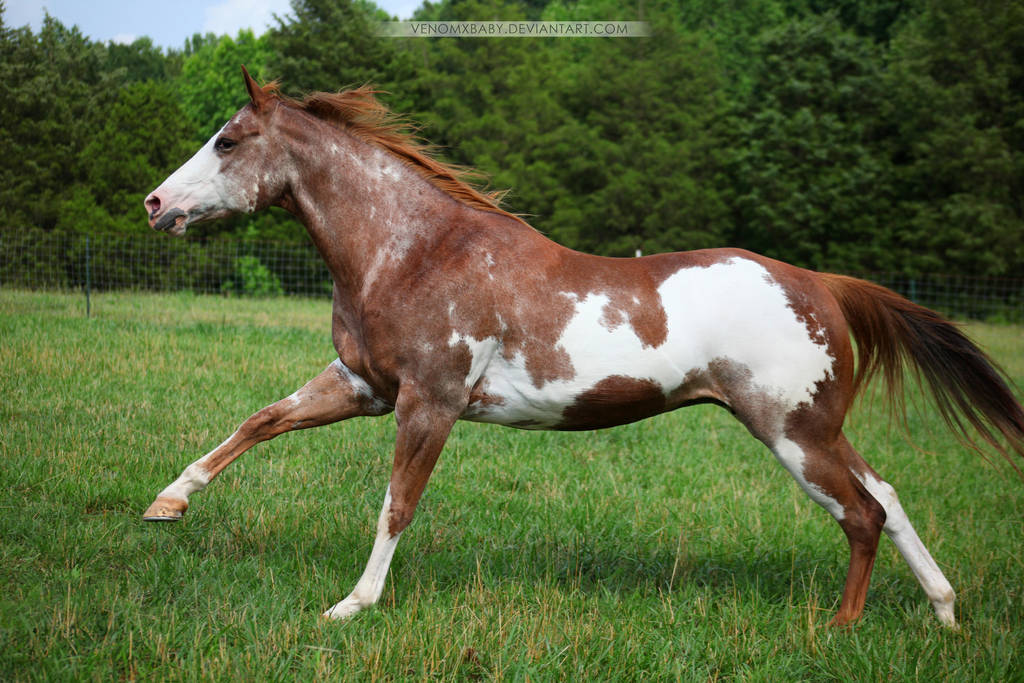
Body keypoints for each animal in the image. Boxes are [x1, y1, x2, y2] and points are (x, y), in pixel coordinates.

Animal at [142, 67, 1024, 627]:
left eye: (227, 140)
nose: (154, 203)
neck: (415, 247)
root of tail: (823, 283)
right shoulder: (363, 384)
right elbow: (259, 420)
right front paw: (167, 502)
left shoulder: (430, 401)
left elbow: (396, 503)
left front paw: (350, 606)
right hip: (819, 427)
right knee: (891, 496)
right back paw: (944, 611)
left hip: (792, 433)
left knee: (863, 513)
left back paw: (841, 626)